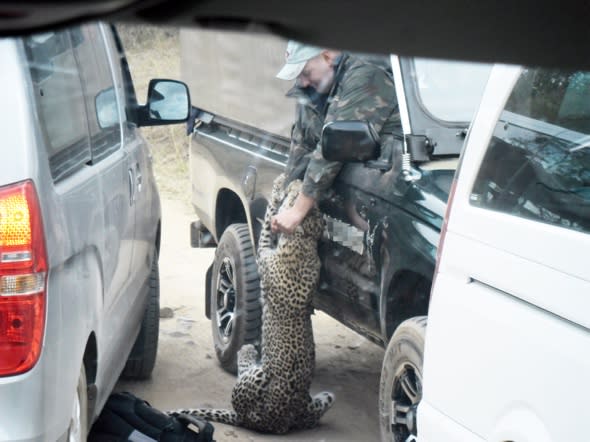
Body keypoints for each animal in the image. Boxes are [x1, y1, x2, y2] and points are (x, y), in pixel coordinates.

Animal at [170, 174, 338, 434]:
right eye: (301, 201)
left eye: (295, 198)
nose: (299, 183)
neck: (305, 242)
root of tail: (274, 423)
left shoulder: (263, 252)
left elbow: (268, 221)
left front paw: (278, 186)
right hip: (325, 398)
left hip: (258, 380)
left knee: (241, 383)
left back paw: (247, 350)